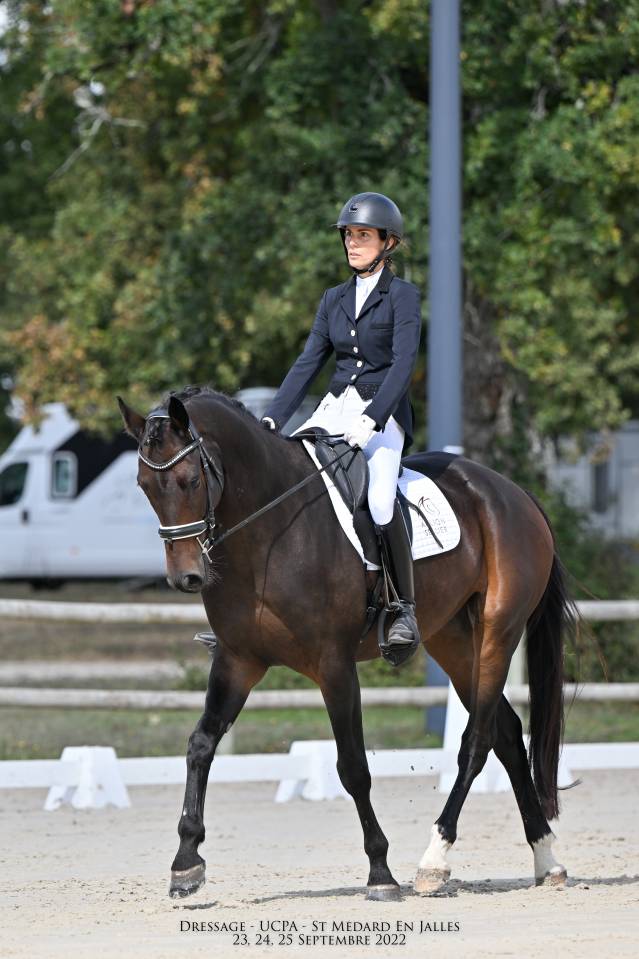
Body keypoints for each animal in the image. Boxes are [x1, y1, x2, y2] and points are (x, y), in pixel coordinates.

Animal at [118, 385, 577, 901]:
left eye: (191, 479)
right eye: (144, 485)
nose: (186, 577)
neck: (269, 532)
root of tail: (512, 492)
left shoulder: (334, 664)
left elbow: (353, 766)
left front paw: (381, 872)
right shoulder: (238, 660)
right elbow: (200, 744)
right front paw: (186, 864)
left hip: (499, 631)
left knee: (476, 741)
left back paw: (434, 861)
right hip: (454, 642)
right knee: (507, 735)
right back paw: (546, 859)